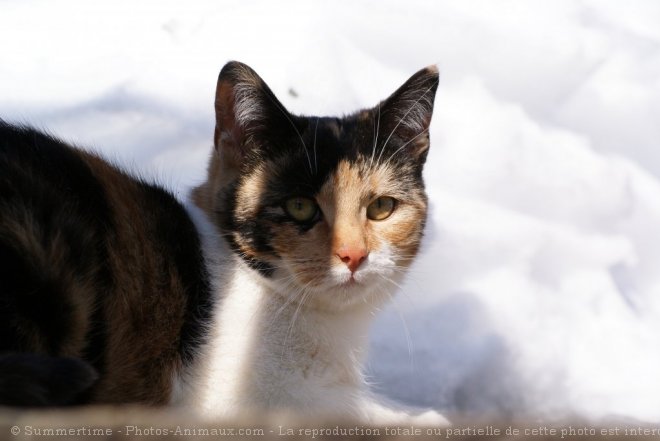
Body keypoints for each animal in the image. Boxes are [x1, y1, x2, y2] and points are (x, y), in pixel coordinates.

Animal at [0, 60, 446, 424]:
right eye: (300, 207)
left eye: (381, 207)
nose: (353, 255)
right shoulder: (232, 398)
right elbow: (349, 410)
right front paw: (422, 418)